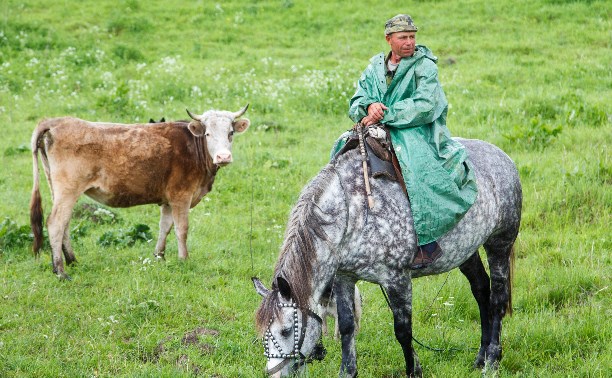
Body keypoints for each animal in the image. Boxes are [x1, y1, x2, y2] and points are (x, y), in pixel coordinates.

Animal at [29, 105, 250, 280]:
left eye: (231, 132)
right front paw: (184, 259)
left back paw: (72, 260)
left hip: (57, 189)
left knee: (64, 224)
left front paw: (159, 256)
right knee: (56, 223)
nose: (223, 157)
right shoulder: (181, 196)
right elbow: (182, 229)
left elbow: (165, 227)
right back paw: (60, 271)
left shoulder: (168, 200)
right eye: (207, 134)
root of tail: (55, 122)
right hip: (68, 189)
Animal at [253, 139, 520, 378]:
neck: (353, 214)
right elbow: (347, 326)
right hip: (466, 251)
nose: (275, 375)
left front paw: (414, 371)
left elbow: (403, 330)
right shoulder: (344, 278)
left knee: (497, 298)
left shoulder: (397, 279)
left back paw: (492, 361)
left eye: (287, 331)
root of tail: (504, 158)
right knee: (481, 291)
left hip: (499, 244)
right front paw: (347, 372)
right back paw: (480, 357)